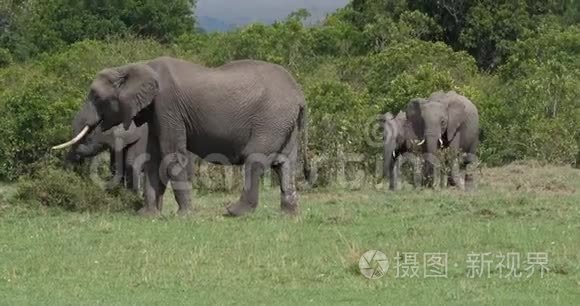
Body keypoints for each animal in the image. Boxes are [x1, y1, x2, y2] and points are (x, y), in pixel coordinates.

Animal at [52, 56, 310, 215]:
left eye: (96, 96)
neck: (134, 67)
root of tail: (299, 94)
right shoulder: (155, 113)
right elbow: (153, 158)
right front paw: (147, 215)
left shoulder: (168, 106)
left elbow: (171, 154)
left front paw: (184, 215)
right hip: (284, 121)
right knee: (284, 163)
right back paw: (289, 215)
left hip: (271, 117)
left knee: (255, 158)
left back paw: (234, 212)